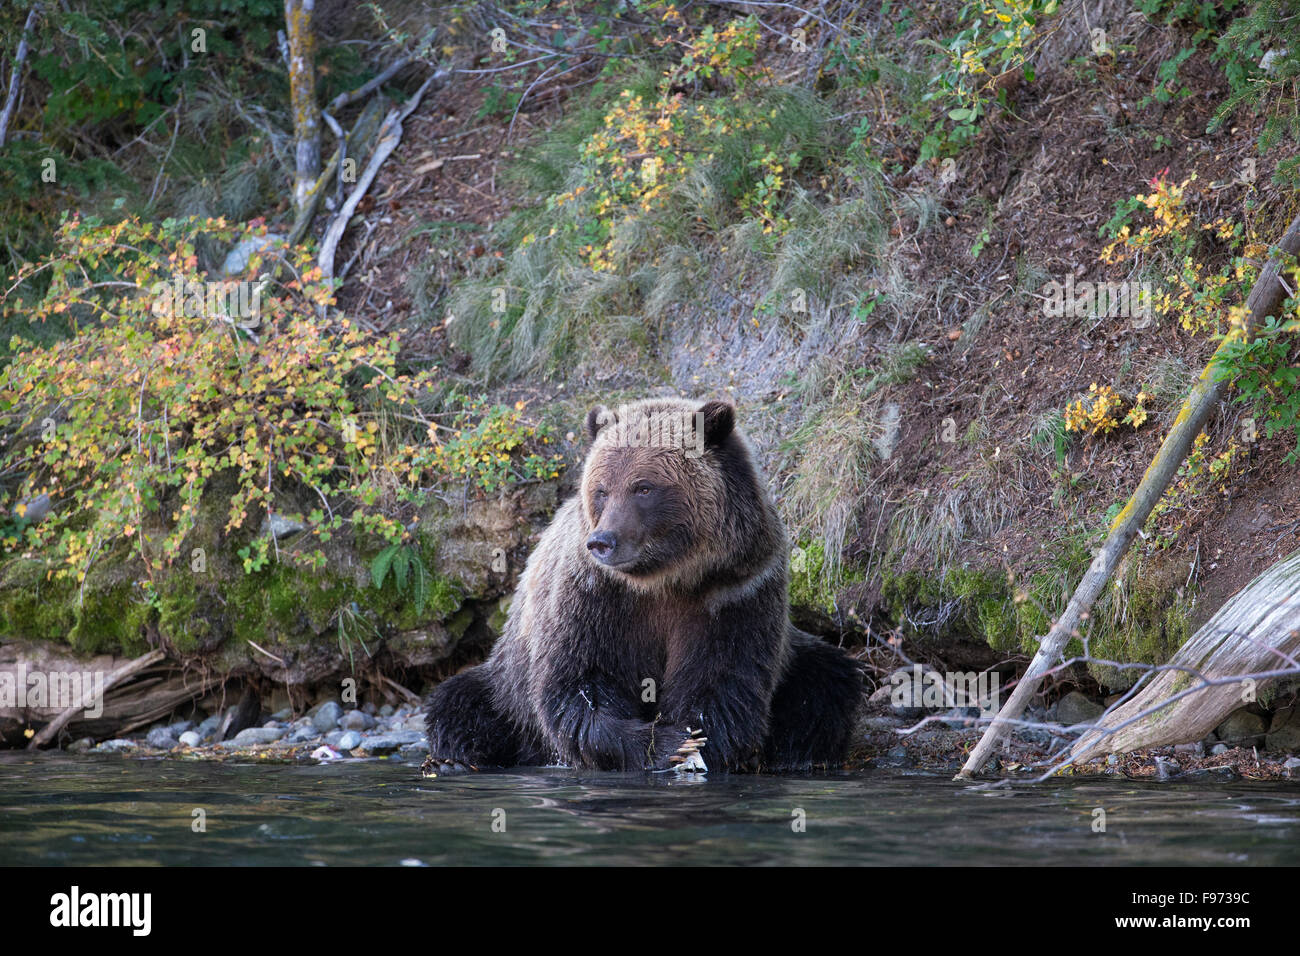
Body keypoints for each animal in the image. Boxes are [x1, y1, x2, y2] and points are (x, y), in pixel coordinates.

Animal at [418, 398, 863, 780]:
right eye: (600, 489)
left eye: (643, 487)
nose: (602, 541)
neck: (667, 577)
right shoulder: (594, 596)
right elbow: (579, 686)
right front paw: (669, 745)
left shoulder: (736, 590)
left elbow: (723, 681)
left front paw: (695, 744)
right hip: (506, 683)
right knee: (460, 703)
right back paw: (456, 759)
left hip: (795, 654)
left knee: (826, 682)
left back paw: (799, 754)